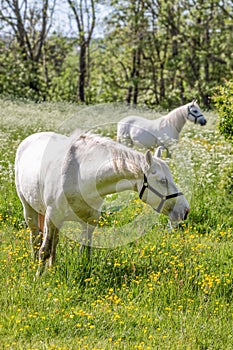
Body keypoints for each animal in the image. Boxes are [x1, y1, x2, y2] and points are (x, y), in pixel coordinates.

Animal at [14, 131, 189, 274]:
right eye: (162, 181)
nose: (185, 210)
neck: (80, 176)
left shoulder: (90, 220)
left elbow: (85, 252)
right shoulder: (52, 217)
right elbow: (44, 250)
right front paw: (39, 277)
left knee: (54, 242)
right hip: (30, 210)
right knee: (36, 239)